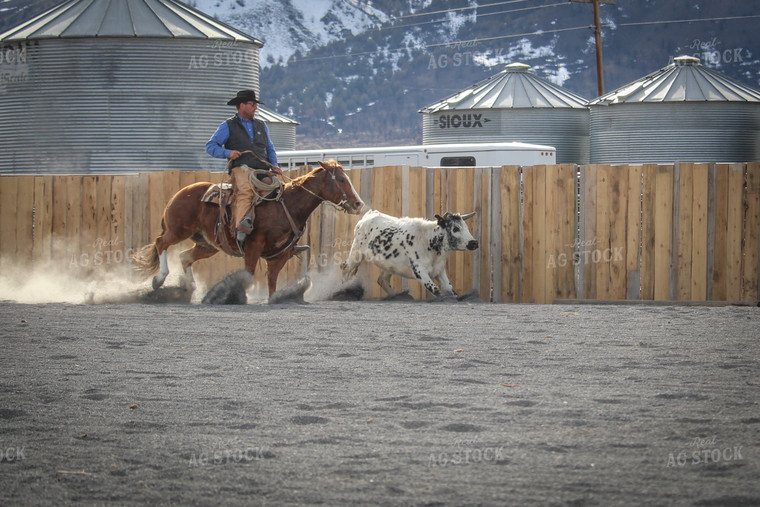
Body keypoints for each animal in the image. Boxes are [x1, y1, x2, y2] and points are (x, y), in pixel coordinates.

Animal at [131, 160, 366, 298]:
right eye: (342, 179)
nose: (358, 204)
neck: (287, 206)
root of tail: (180, 193)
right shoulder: (253, 246)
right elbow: (248, 276)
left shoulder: (279, 256)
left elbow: (272, 284)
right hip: (178, 230)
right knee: (161, 243)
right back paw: (159, 280)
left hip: (207, 244)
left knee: (184, 256)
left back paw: (189, 287)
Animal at [342, 209, 478, 298]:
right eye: (455, 228)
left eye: (466, 227)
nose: (474, 242)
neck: (429, 241)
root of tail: (369, 215)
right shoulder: (420, 271)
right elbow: (436, 290)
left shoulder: (439, 271)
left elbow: (451, 291)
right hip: (356, 254)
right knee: (346, 269)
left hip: (388, 265)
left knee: (382, 280)